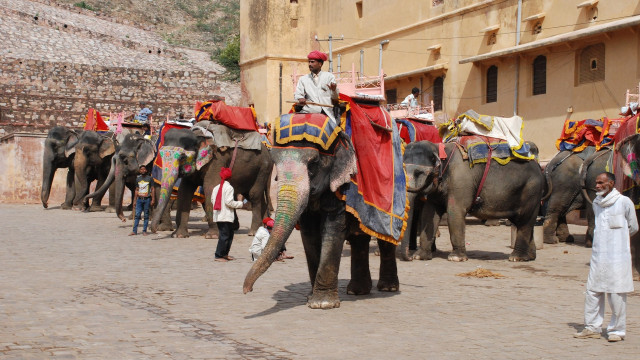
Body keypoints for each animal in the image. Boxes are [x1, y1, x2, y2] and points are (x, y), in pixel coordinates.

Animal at [402, 141, 544, 262]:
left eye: (418, 173)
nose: (409, 257)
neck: (440, 148)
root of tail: (538, 166)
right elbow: (429, 213)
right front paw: (420, 257)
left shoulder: (460, 181)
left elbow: (455, 212)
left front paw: (456, 258)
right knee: (524, 223)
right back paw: (530, 257)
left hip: (531, 191)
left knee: (524, 221)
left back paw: (516, 258)